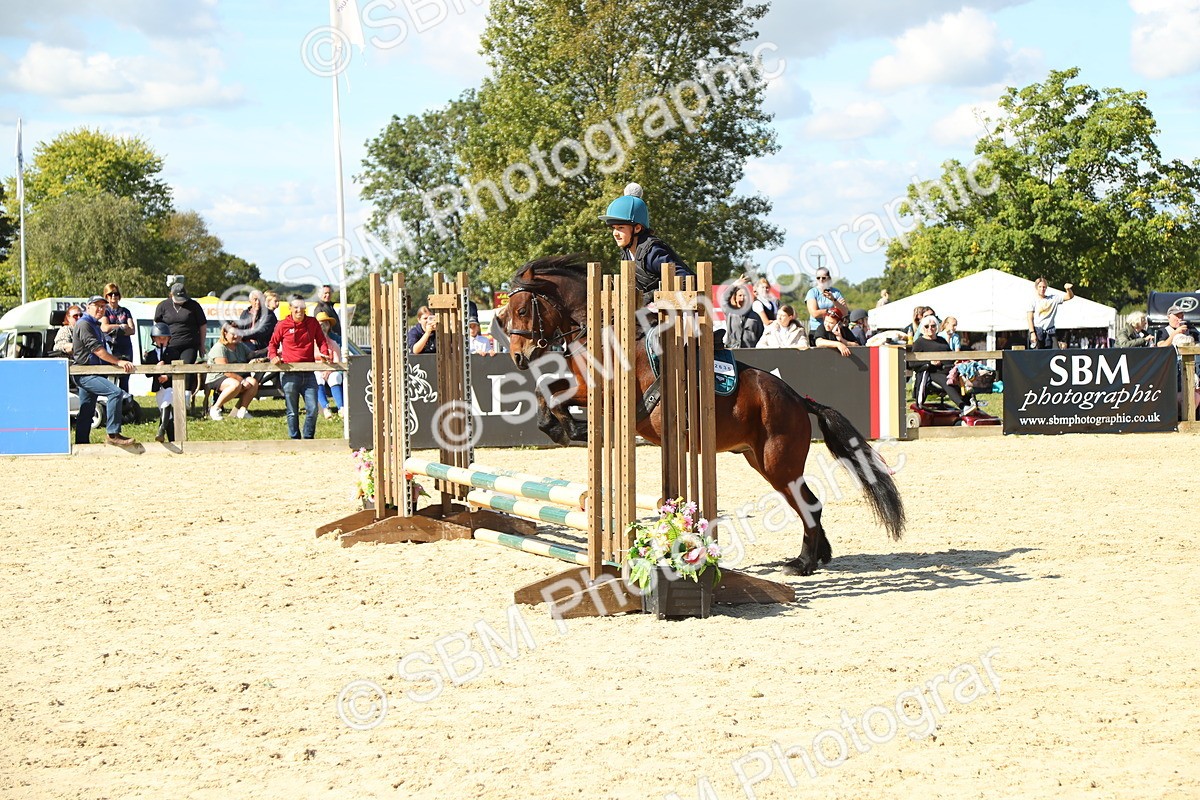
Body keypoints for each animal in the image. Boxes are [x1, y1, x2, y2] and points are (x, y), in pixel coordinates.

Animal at [502, 255, 905, 575]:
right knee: (809, 504)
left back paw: (803, 563)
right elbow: (545, 392)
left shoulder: (603, 390)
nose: (519, 357)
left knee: (810, 504)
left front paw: (572, 427)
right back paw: (819, 556)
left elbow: (554, 395)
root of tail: (799, 399)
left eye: (521, 310)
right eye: (504, 314)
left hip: (779, 462)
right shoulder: (581, 384)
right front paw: (561, 427)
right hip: (760, 460)